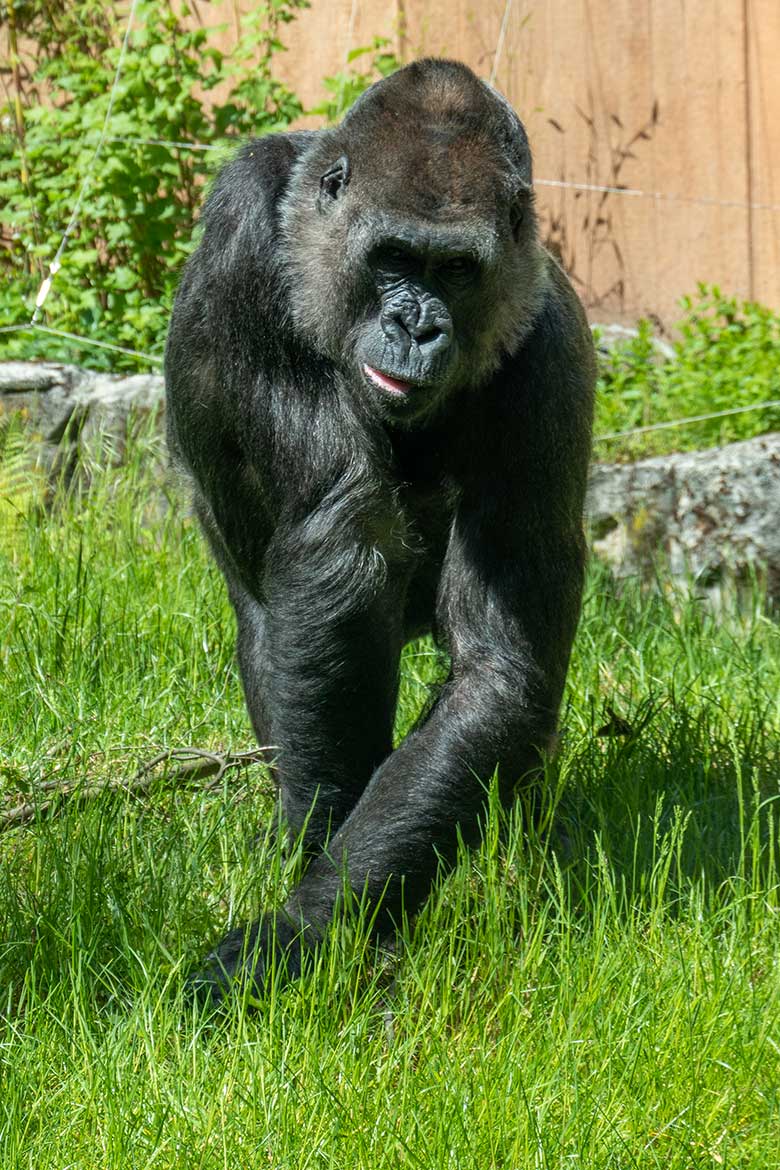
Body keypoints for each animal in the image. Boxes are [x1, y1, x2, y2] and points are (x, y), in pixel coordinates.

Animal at [163, 59, 591, 1001]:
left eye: (457, 271)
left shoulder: (548, 351)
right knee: (271, 626)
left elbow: (499, 670)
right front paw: (311, 878)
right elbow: (340, 553)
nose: (416, 325)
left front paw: (312, 922)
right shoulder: (247, 225)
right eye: (393, 258)